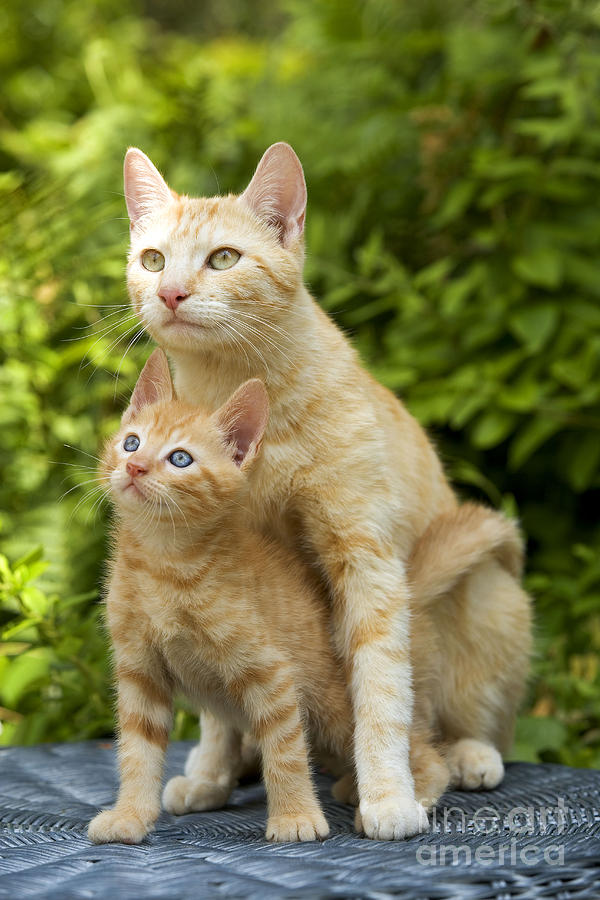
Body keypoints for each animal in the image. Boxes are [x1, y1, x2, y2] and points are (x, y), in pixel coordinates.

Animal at [86, 350, 448, 844]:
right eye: (131, 442)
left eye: (180, 458)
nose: (135, 467)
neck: (165, 563)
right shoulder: (140, 671)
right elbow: (137, 752)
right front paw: (129, 816)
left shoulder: (271, 672)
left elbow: (285, 751)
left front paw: (295, 817)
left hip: (337, 707)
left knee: (420, 750)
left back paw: (406, 798)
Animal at [123, 144, 536, 840]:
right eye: (152, 260)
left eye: (224, 259)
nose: (170, 292)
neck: (236, 385)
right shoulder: (227, 562)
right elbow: (220, 701)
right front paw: (211, 770)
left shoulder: (364, 557)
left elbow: (379, 687)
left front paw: (388, 795)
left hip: (488, 595)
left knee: (479, 725)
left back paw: (464, 756)